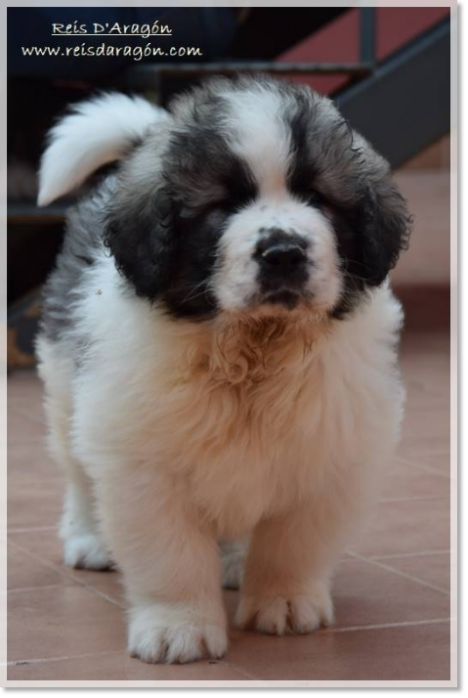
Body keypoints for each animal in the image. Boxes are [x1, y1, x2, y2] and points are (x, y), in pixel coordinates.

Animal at [36, 76, 410, 664]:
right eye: (223, 205)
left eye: (318, 199)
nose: (283, 253)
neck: (251, 350)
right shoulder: (142, 461)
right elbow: (170, 553)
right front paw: (178, 627)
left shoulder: (329, 453)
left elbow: (294, 542)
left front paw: (285, 601)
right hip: (64, 386)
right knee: (76, 472)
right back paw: (89, 538)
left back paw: (235, 560)